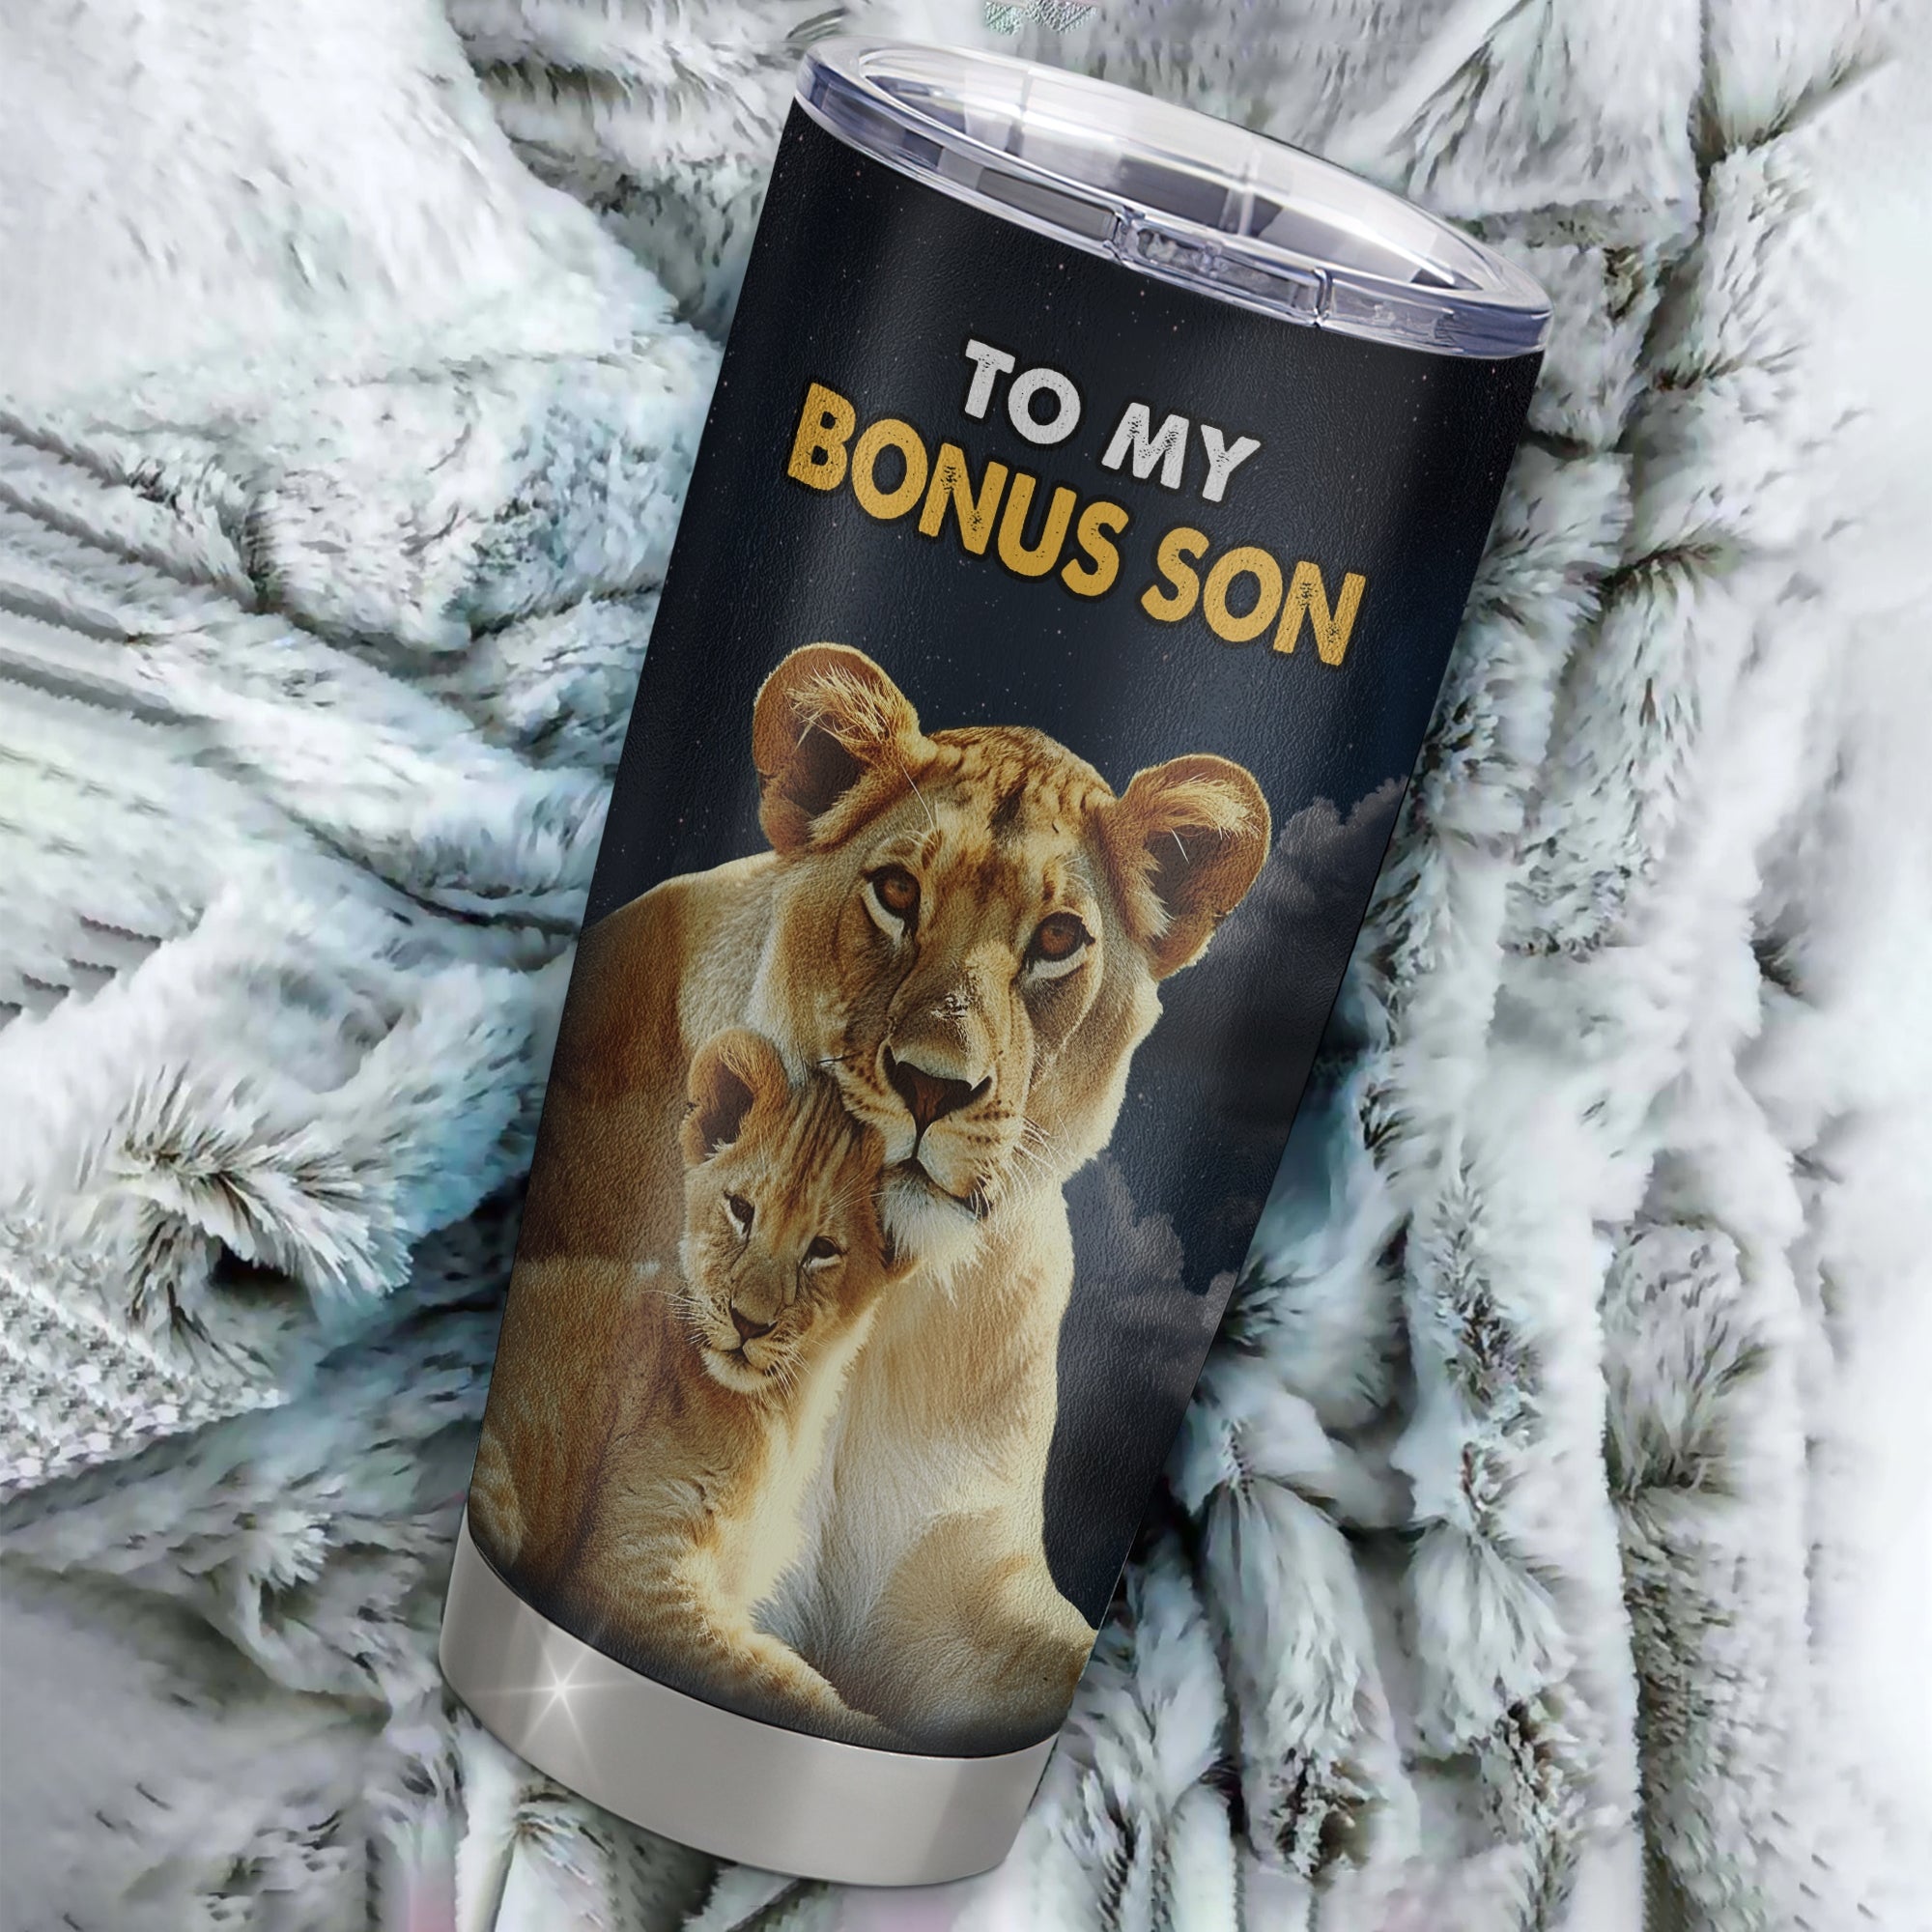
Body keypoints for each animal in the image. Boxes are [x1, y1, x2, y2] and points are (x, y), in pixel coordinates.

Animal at [469, 1028, 910, 1743]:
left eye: (822, 1249)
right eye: (741, 1210)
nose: (749, 1323)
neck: (787, 1411)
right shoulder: (634, 1572)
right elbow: (786, 1684)